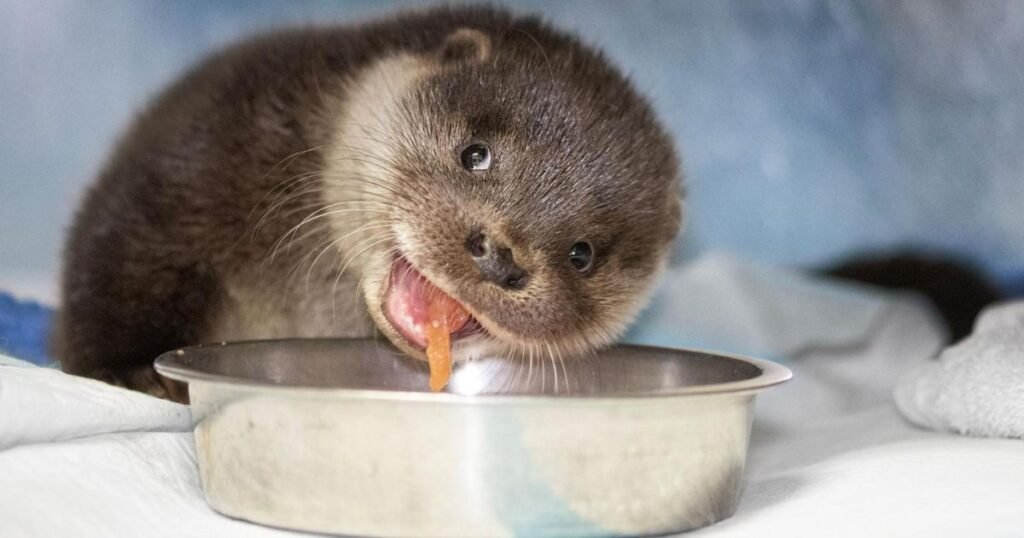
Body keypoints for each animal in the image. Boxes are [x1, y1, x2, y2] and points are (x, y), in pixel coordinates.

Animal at [54, 5, 683, 401]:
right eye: (475, 154)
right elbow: (125, 253)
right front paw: (131, 368)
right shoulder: (199, 156)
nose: (500, 257)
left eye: (582, 255)